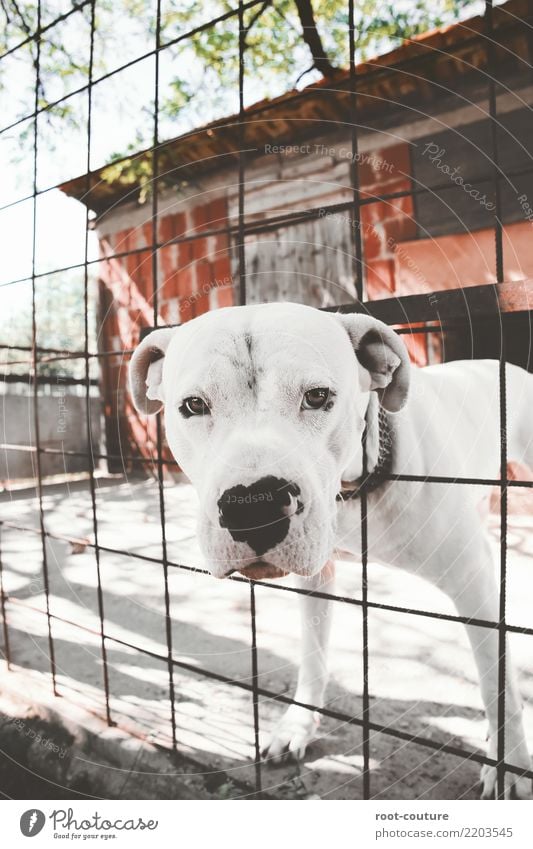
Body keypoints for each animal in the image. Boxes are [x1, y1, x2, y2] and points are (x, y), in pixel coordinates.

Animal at [130, 302, 532, 800]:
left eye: (318, 397)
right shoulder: (315, 581)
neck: (356, 490)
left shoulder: (473, 582)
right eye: (192, 406)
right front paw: (298, 725)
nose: (253, 506)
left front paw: (510, 764)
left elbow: (497, 680)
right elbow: (313, 654)